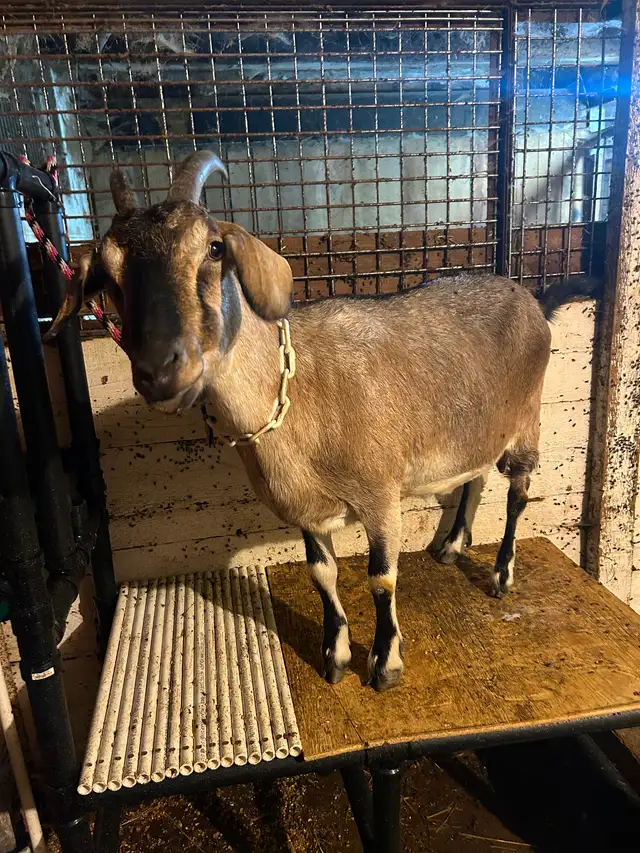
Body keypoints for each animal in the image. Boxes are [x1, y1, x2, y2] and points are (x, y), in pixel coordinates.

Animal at [48, 151, 598, 691]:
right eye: (106, 275)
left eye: (213, 248)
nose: (160, 369)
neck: (296, 398)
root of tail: (533, 300)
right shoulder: (305, 509)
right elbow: (321, 575)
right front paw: (335, 655)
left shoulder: (380, 495)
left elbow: (381, 578)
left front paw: (384, 664)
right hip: (478, 426)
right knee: (476, 475)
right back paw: (452, 545)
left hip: (527, 420)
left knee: (518, 493)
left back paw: (502, 576)